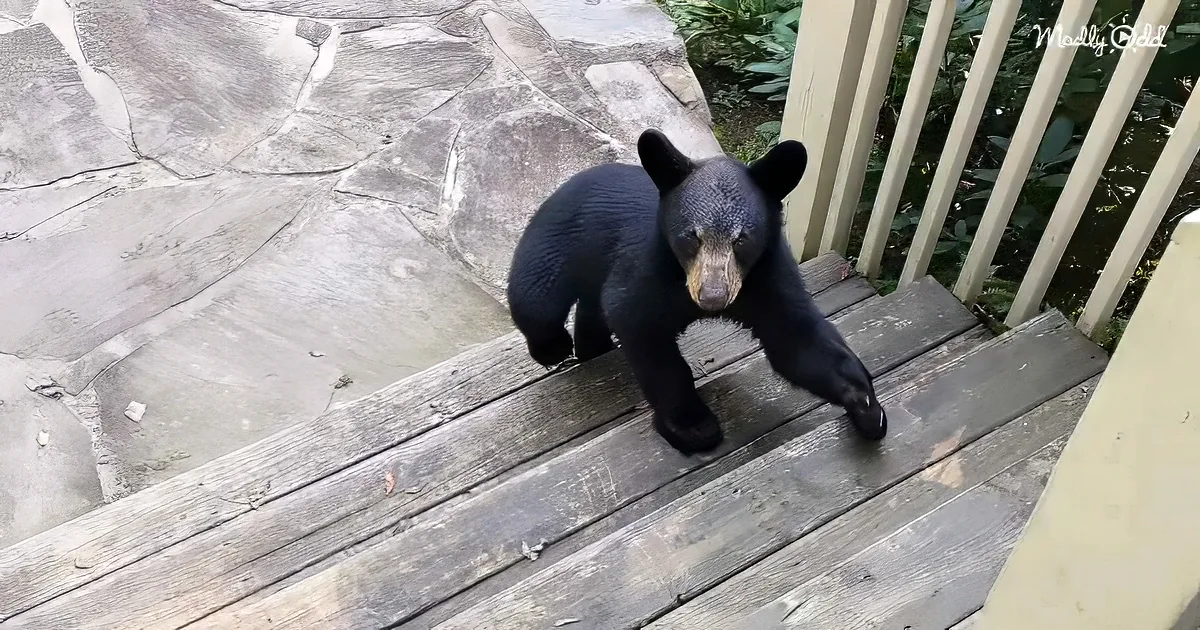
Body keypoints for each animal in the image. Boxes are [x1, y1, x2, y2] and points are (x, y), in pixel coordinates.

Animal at [506, 128, 887, 454]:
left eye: (741, 239)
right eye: (691, 236)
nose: (712, 298)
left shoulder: (767, 277)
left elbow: (796, 340)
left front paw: (867, 406)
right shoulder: (648, 268)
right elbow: (642, 329)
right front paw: (693, 426)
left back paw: (591, 346)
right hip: (556, 242)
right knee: (537, 300)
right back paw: (555, 347)